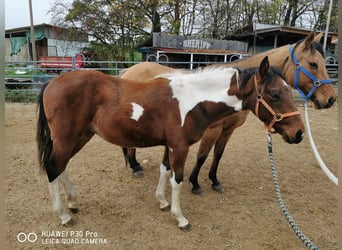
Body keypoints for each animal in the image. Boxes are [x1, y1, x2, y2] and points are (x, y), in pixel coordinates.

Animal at [36, 56, 304, 229]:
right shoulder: (180, 146)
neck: (192, 100)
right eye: (274, 94)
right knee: (53, 167)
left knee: (60, 166)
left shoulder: (170, 145)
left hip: (81, 136)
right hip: (68, 137)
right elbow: (178, 179)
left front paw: (162, 202)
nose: (299, 133)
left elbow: (165, 170)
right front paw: (180, 217)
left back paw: (72, 202)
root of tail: (51, 82)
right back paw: (63, 215)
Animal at [119, 31, 336, 194]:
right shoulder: (212, 130)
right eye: (313, 64)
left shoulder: (228, 130)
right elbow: (202, 156)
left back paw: (136, 164)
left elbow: (218, 154)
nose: (331, 98)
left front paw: (214, 181)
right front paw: (195, 183)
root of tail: (128, 71)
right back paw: (135, 167)